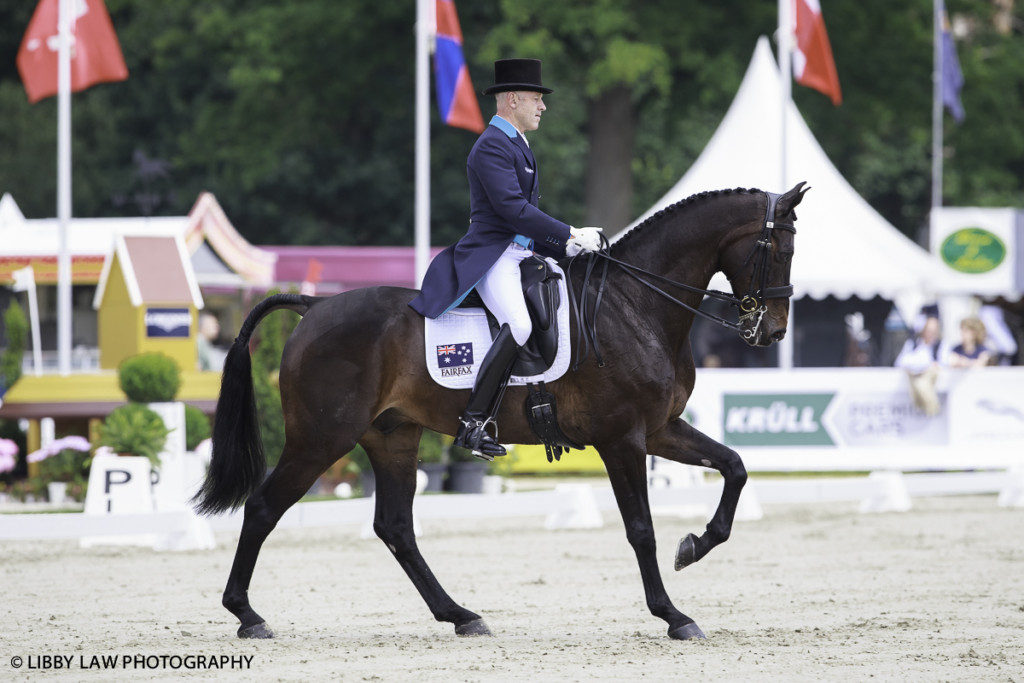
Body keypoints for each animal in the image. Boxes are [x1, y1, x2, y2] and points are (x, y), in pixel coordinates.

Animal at [193, 181, 806, 643]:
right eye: (778, 250)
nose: (772, 331)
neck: (635, 306)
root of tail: (314, 307)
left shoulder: (660, 430)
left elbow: (734, 467)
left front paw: (696, 545)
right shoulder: (623, 438)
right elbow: (641, 529)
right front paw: (674, 615)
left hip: (392, 437)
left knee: (395, 527)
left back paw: (461, 616)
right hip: (322, 439)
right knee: (263, 507)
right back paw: (247, 615)